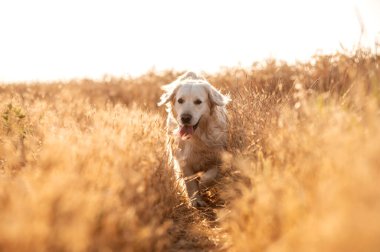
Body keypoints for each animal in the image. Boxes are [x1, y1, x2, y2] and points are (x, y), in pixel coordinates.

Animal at [158, 71, 230, 207]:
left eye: (198, 102)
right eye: (180, 100)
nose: (185, 118)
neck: (197, 136)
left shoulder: (218, 156)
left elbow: (210, 175)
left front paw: (203, 185)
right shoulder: (183, 160)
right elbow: (190, 182)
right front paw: (196, 200)